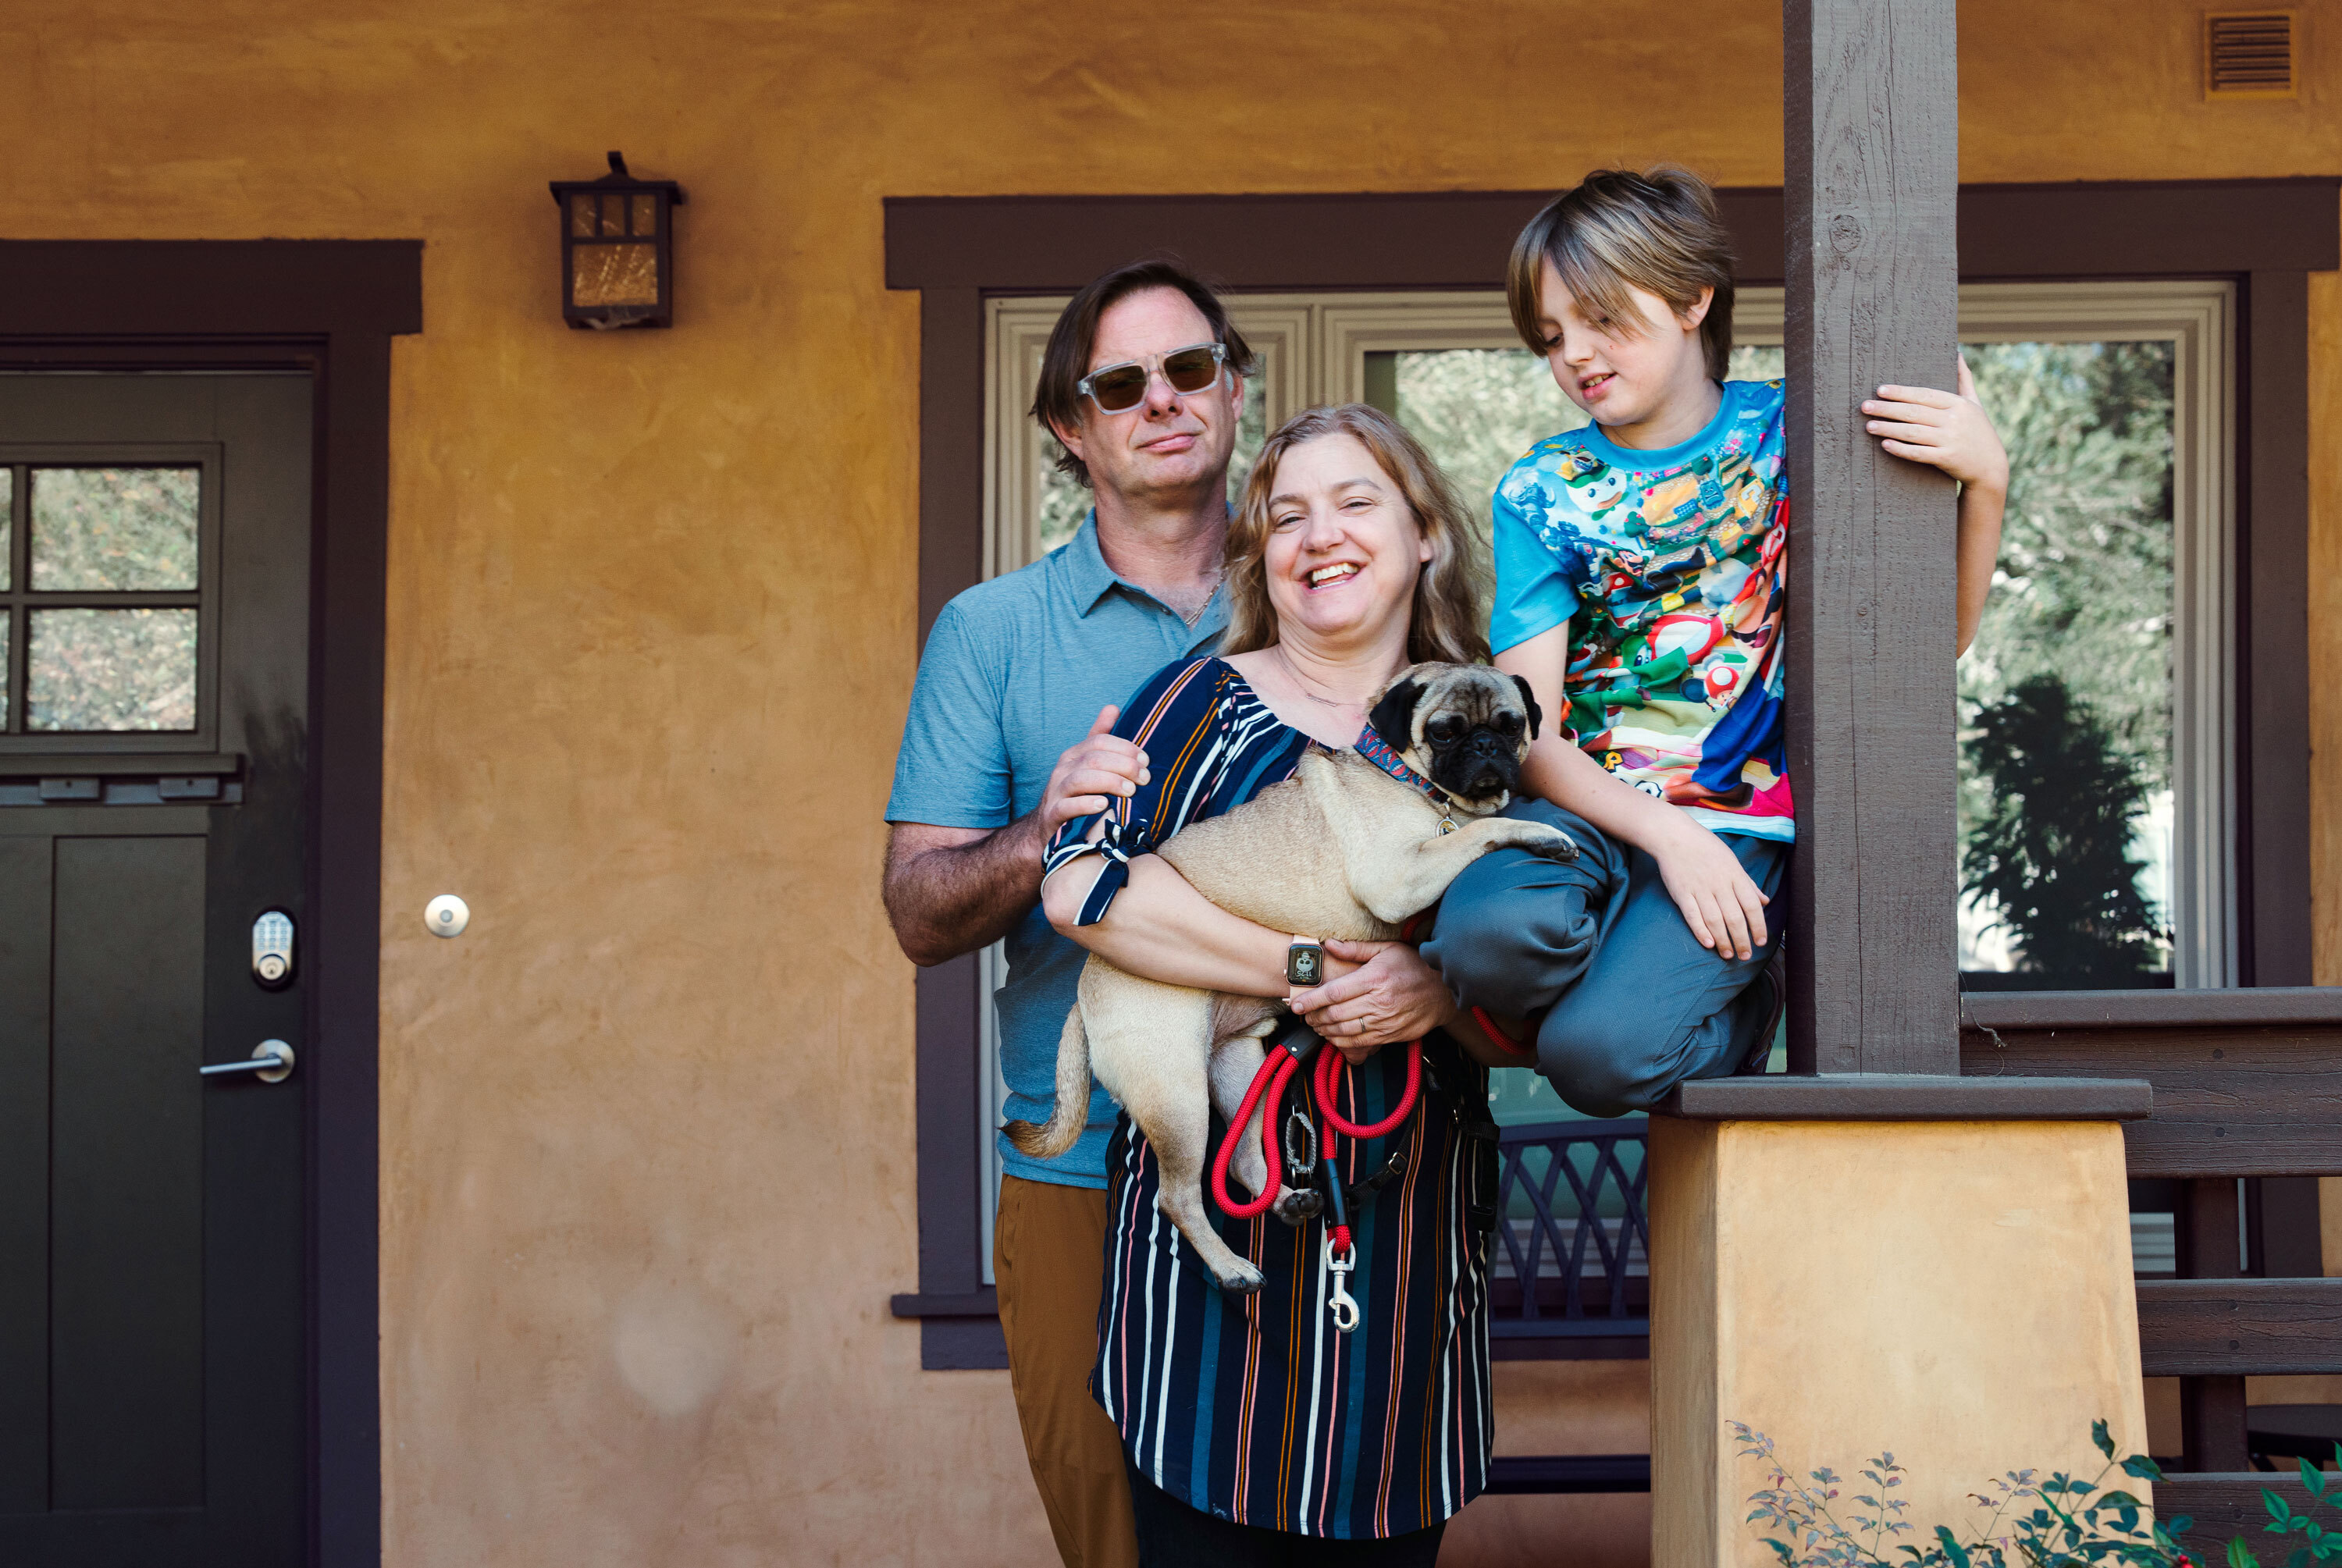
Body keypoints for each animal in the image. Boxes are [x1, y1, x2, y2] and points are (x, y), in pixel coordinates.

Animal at [1007, 655, 1574, 1292]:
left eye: (1509, 725)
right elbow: (1479, 833)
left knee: (1246, 1161)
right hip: (1177, 1093)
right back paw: (1231, 1268)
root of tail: (1084, 998)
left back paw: (1287, 1202)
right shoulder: (1397, 877)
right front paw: (1542, 834)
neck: (1416, 785)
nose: (1485, 746)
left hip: (1239, 1073)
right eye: (1446, 732)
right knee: (1179, 1197)